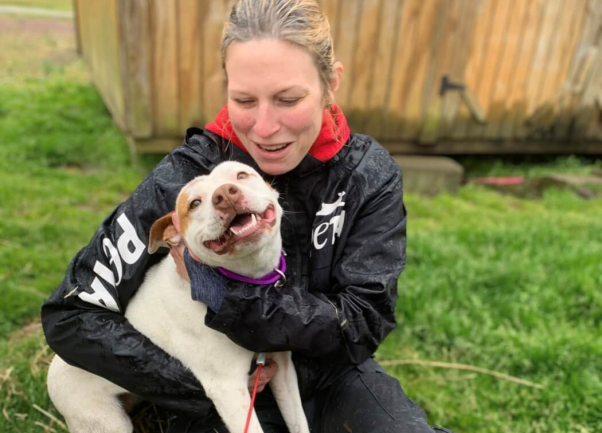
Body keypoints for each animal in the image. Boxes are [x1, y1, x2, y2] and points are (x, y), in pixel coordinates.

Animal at [47, 161, 310, 432]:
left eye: (241, 175)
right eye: (194, 203)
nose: (225, 194)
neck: (251, 281)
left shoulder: (283, 368)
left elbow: (299, 422)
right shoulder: (228, 388)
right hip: (105, 421)